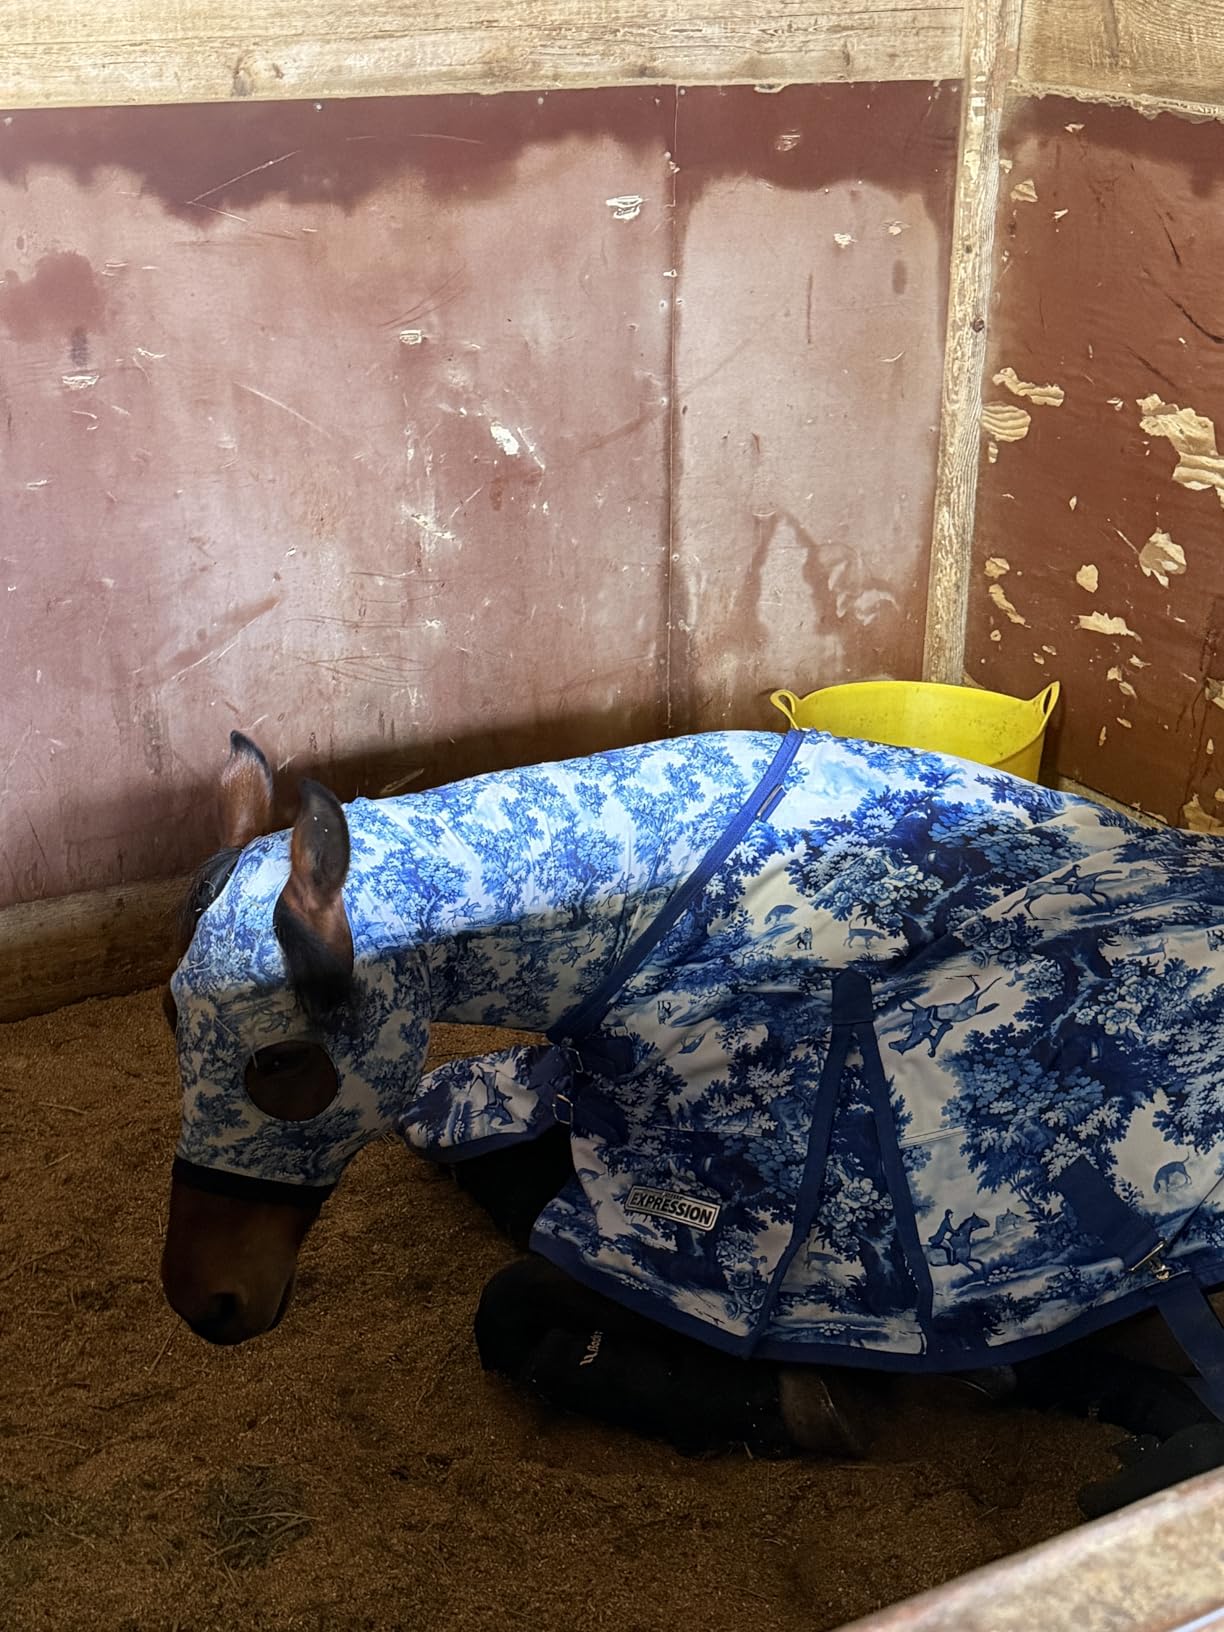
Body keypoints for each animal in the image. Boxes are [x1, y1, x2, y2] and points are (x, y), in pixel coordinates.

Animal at [159, 725, 1224, 1511]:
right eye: (170, 1020)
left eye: (279, 1061)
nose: (202, 1304)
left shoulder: (708, 1246)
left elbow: (513, 1302)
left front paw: (796, 1406)